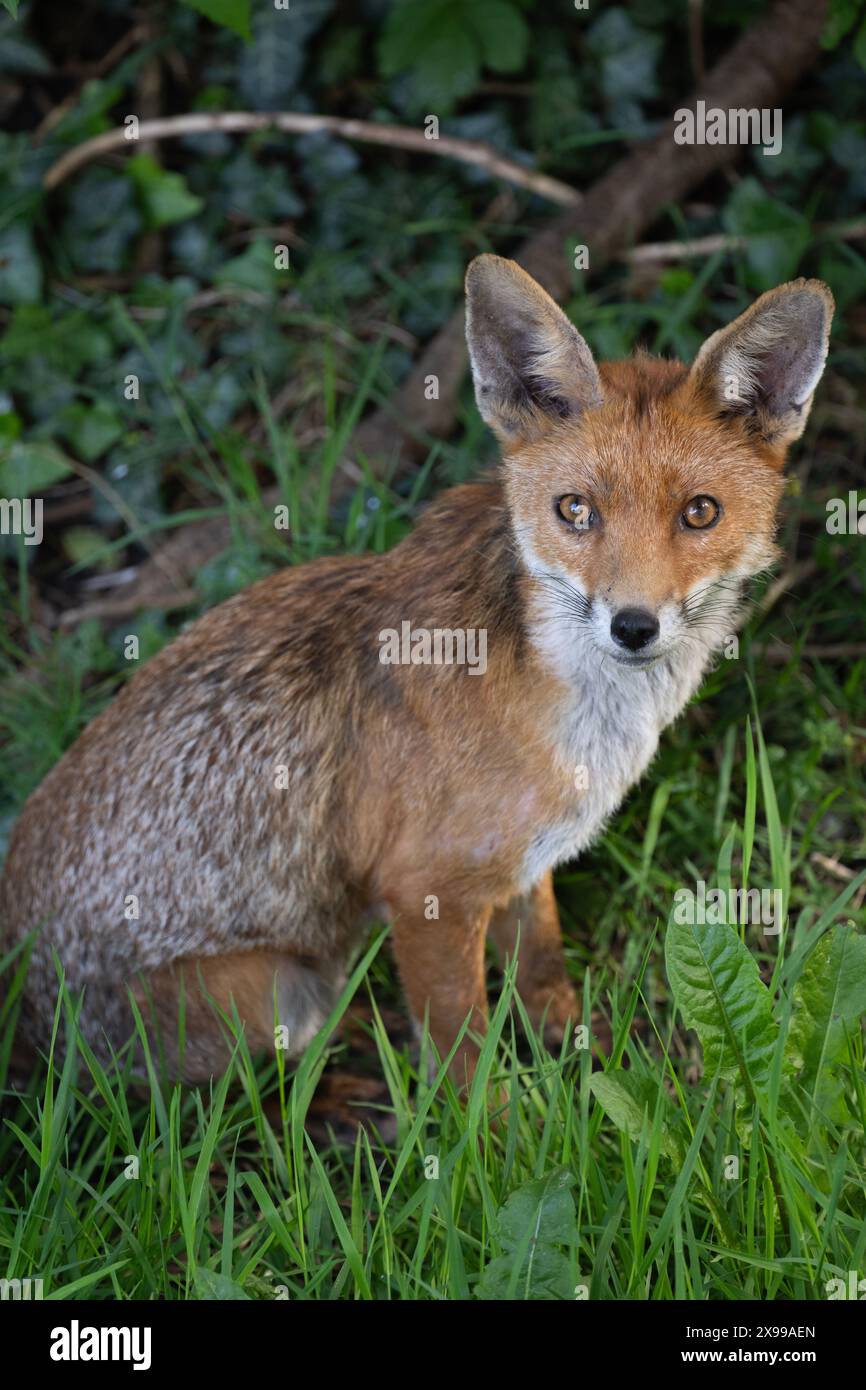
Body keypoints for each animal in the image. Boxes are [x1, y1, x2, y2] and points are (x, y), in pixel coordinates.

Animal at [0, 258, 834, 1084]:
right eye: (574, 511)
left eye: (699, 513)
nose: (633, 626)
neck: (576, 714)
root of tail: (26, 1005)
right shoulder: (426, 893)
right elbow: (464, 1059)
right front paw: (498, 1115)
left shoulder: (522, 862)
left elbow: (543, 967)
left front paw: (577, 1054)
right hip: (280, 996)